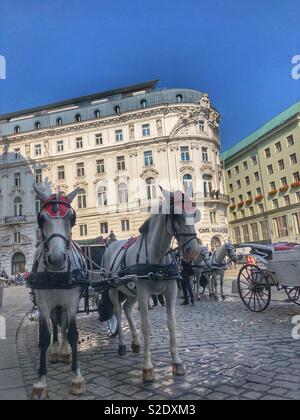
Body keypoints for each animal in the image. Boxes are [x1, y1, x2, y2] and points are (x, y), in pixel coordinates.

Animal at [30, 187, 86, 400]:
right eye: (41, 218)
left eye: (71, 217)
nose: (56, 258)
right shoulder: (44, 304)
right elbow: (45, 335)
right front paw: (41, 381)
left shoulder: (72, 302)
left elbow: (72, 333)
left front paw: (77, 377)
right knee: (56, 324)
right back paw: (56, 350)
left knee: (63, 326)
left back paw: (64, 351)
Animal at [101, 189, 202, 382]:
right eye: (176, 215)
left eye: (194, 213)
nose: (194, 251)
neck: (157, 258)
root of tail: (112, 244)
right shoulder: (143, 292)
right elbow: (146, 326)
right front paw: (147, 368)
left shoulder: (171, 291)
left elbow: (172, 324)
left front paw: (177, 362)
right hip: (113, 289)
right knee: (118, 311)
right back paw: (122, 344)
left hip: (130, 292)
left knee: (127, 309)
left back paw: (135, 342)